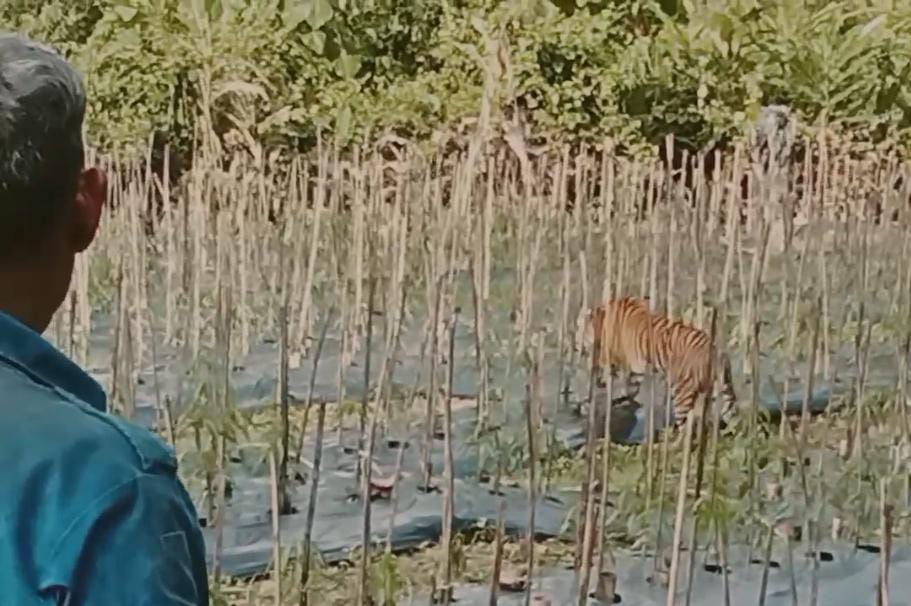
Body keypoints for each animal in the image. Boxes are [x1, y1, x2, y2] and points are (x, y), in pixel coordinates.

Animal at [584, 296, 740, 434]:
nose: (583, 344)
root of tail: (715, 350)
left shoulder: (615, 357)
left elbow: (615, 375)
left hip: (682, 392)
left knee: (686, 427)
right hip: (722, 388)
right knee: (730, 411)